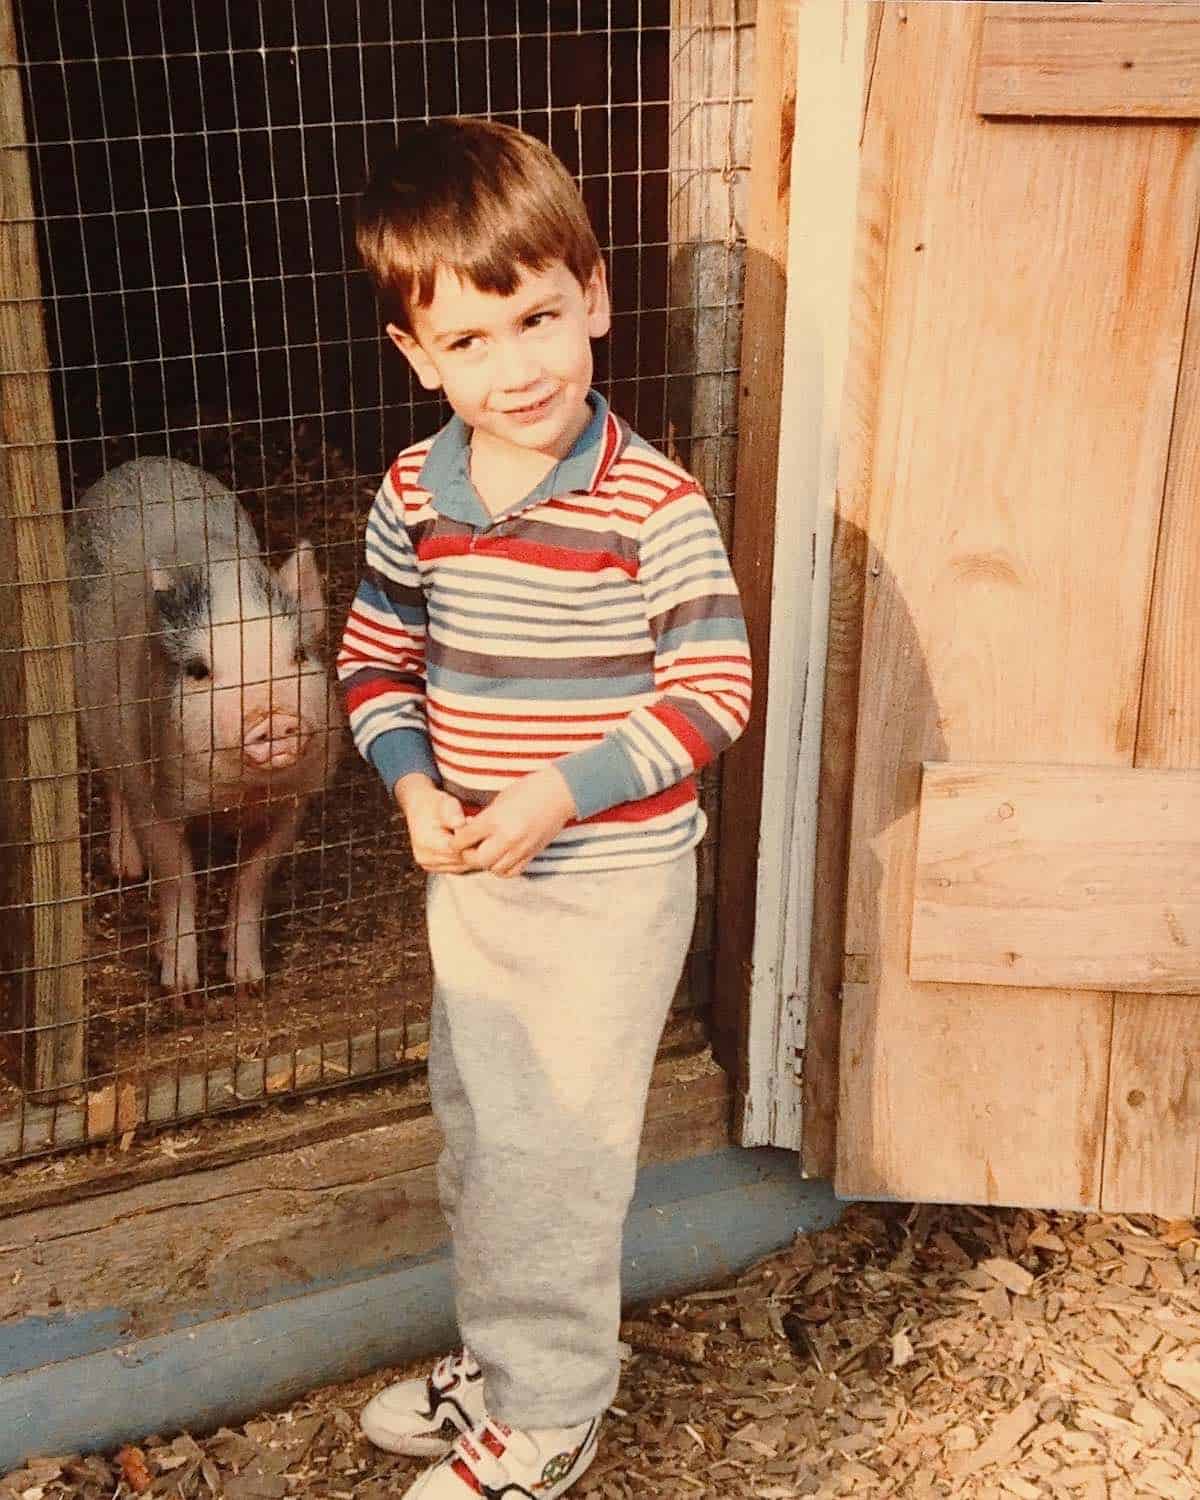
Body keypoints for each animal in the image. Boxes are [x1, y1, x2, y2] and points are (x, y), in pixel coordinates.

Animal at [68, 456, 345, 996]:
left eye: (299, 655)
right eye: (198, 670)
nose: (272, 716)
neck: (236, 794)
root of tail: (146, 462)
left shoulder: (293, 801)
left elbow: (252, 879)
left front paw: (248, 983)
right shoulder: (156, 796)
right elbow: (179, 879)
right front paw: (181, 990)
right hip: (94, 715)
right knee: (111, 782)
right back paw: (126, 869)